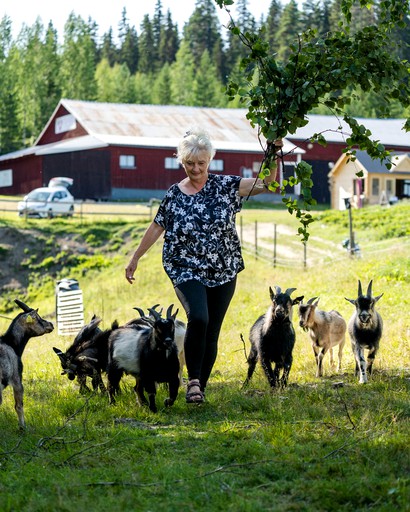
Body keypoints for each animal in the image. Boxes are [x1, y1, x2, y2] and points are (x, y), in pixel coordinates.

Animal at [0, 298, 53, 430]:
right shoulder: (16, 378)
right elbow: (19, 405)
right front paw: (22, 427)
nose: (51, 325)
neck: (11, 343)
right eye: (38, 317)